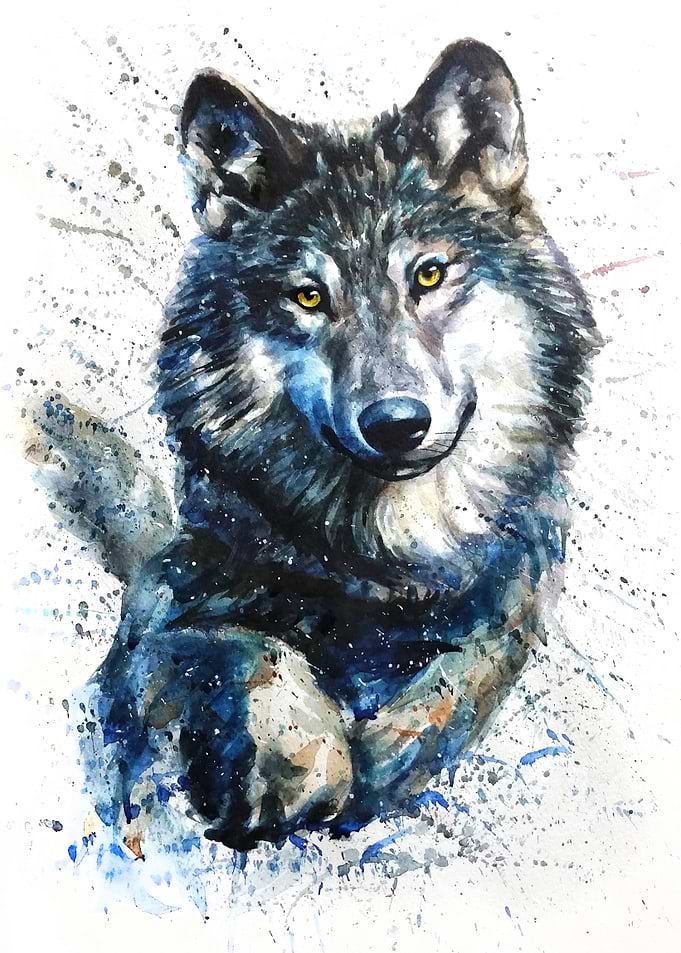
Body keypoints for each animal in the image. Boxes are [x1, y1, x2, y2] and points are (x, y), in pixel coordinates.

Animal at [32, 39, 600, 852]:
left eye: (429, 274)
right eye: (308, 296)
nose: (395, 423)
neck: (385, 563)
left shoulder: (514, 592)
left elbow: (466, 673)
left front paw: (388, 752)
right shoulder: (162, 605)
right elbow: (250, 645)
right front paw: (306, 766)